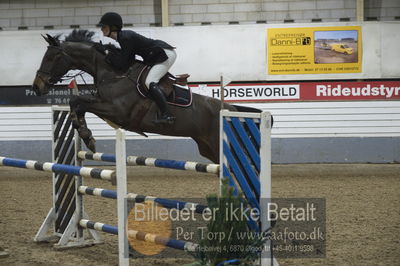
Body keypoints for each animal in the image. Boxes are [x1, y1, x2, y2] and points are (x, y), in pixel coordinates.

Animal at [31, 31, 262, 164]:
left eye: (51, 57)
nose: (36, 87)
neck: (114, 72)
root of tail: (231, 110)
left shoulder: (117, 110)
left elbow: (79, 102)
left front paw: (88, 136)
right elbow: (76, 103)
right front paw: (85, 133)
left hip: (218, 145)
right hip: (209, 149)